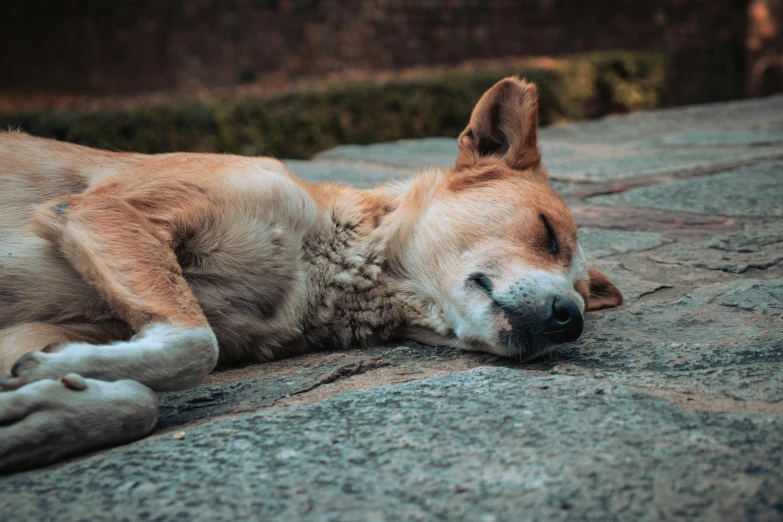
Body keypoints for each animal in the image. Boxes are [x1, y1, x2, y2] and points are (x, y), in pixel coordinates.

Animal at [1, 78, 624, 472]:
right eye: (548, 232)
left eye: (581, 299)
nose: (570, 320)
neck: (320, 269)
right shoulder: (107, 209)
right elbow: (194, 345)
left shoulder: (33, 330)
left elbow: (136, 399)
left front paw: (35, 413)